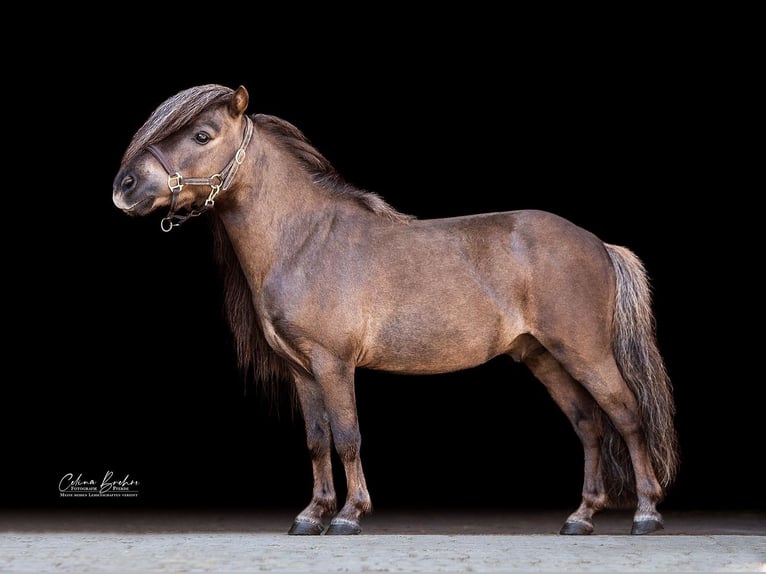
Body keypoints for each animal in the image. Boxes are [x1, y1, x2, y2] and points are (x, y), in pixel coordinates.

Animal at [112, 83, 680, 536]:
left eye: (202, 135)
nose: (125, 187)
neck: (304, 240)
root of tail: (599, 244)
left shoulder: (333, 364)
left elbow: (346, 437)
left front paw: (347, 516)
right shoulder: (302, 369)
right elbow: (317, 440)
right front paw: (311, 515)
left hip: (584, 352)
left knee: (626, 415)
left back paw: (645, 514)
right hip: (543, 356)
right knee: (589, 424)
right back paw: (580, 517)